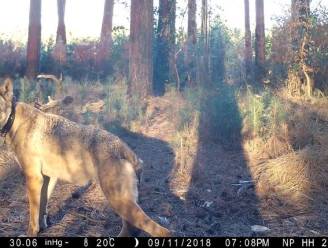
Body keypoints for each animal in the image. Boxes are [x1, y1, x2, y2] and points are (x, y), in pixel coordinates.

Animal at [0, 79, 169, 236]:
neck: (14, 120)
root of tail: (126, 150)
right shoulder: (48, 178)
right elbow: (42, 209)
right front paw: (42, 228)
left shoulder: (33, 177)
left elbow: (33, 216)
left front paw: (31, 233)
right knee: (133, 228)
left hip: (119, 201)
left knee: (161, 231)